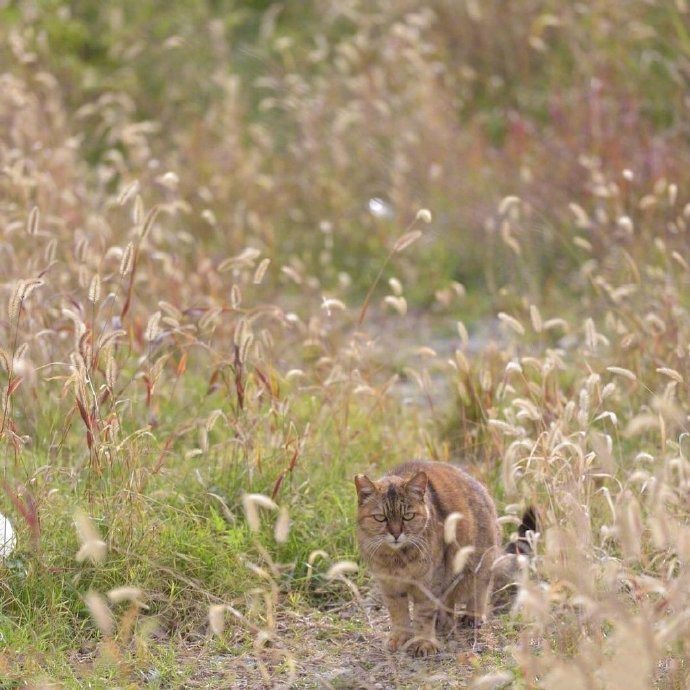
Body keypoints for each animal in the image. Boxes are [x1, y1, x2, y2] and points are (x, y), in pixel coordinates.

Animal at [354, 460, 500, 652]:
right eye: (380, 518)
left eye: (408, 516)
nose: (396, 534)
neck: (397, 559)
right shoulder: (389, 585)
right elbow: (398, 612)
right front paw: (399, 637)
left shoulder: (429, 583)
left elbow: (423, 615)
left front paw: (424, 642)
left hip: (479, 565)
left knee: (480, 591)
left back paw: (472, 615)